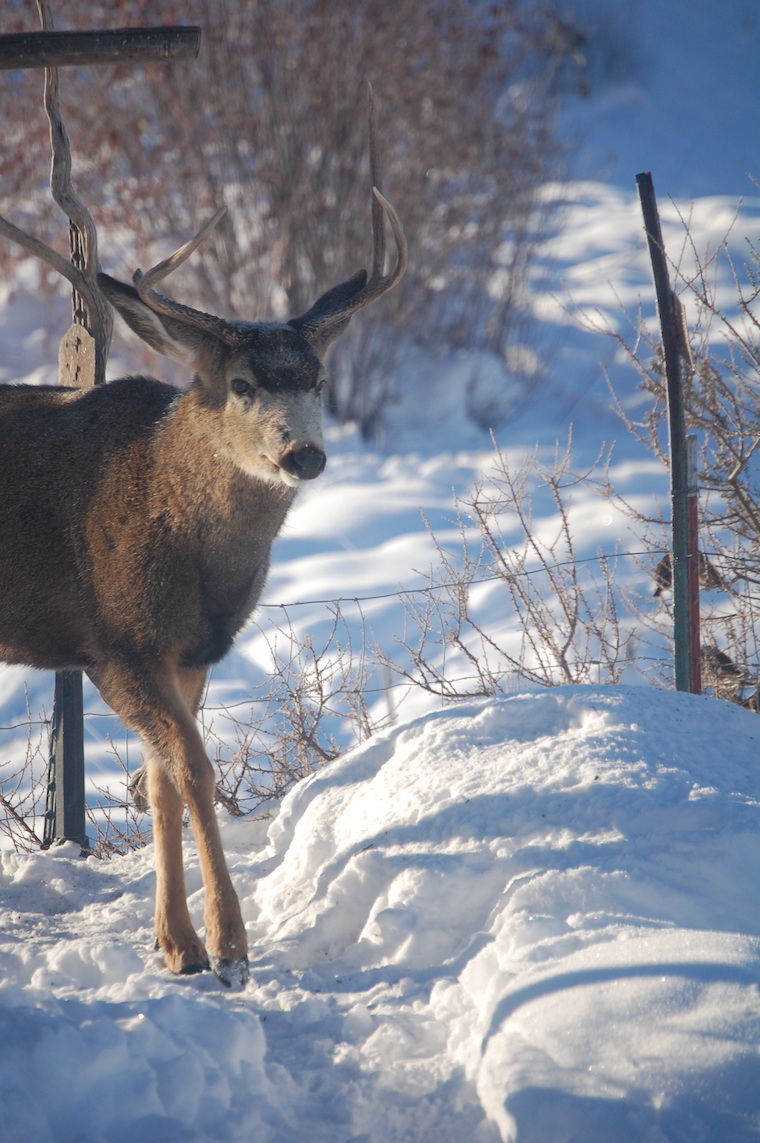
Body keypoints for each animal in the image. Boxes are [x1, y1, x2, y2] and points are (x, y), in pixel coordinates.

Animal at [0, 108, 406, 987]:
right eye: (244, 384)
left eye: (318, 379)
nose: (305, 455)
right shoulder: (113, 641)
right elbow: (195, 769)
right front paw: (230, 950)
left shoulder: (193, 652)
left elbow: (160, 783)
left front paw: (176, 944)